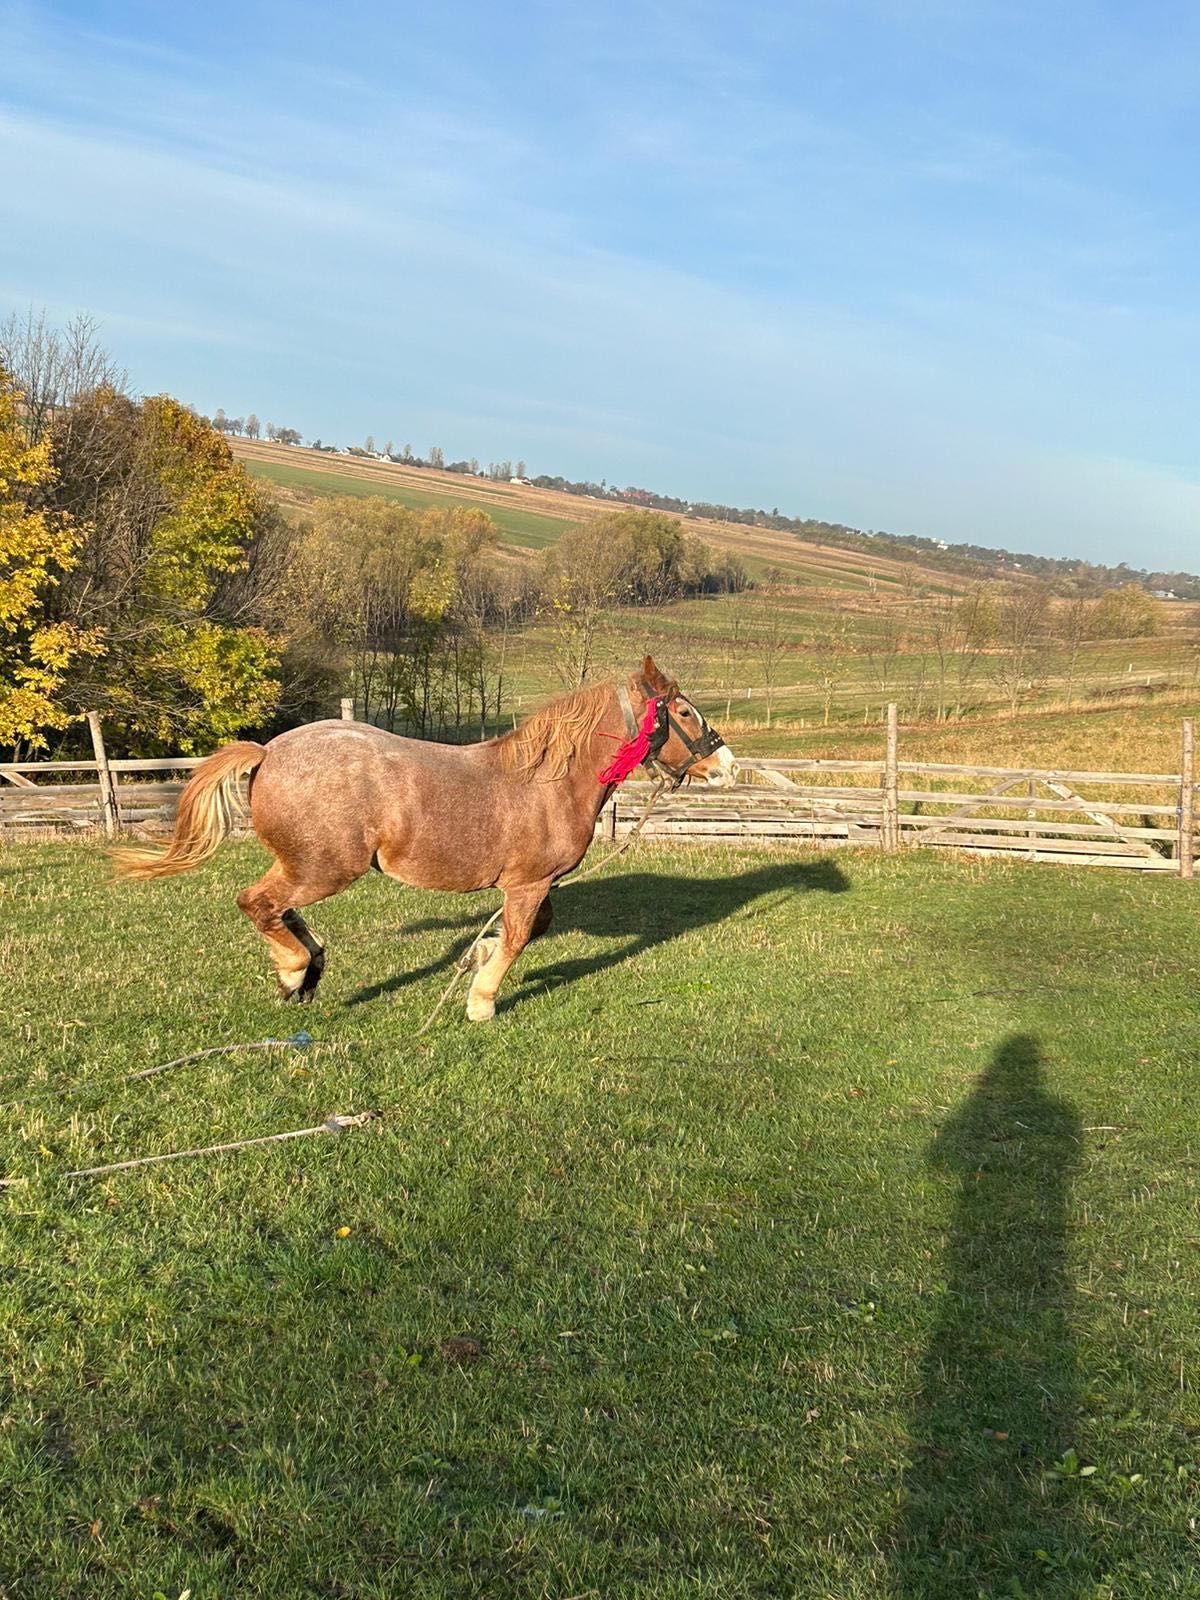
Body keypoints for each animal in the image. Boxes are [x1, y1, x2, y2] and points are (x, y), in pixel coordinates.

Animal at [115, 659, 732, 1024]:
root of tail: (268, 751)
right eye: (682, 711)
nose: (725, 765)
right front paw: (481, 1001)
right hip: (325, 868)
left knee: (277, 908)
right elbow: (517, 940)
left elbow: (530, 932)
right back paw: (294, 970)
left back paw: (308, 969)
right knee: (257, 903)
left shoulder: (532, 885)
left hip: (304, 865)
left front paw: (476, 956)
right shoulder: (528, 883)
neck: (546, 781)